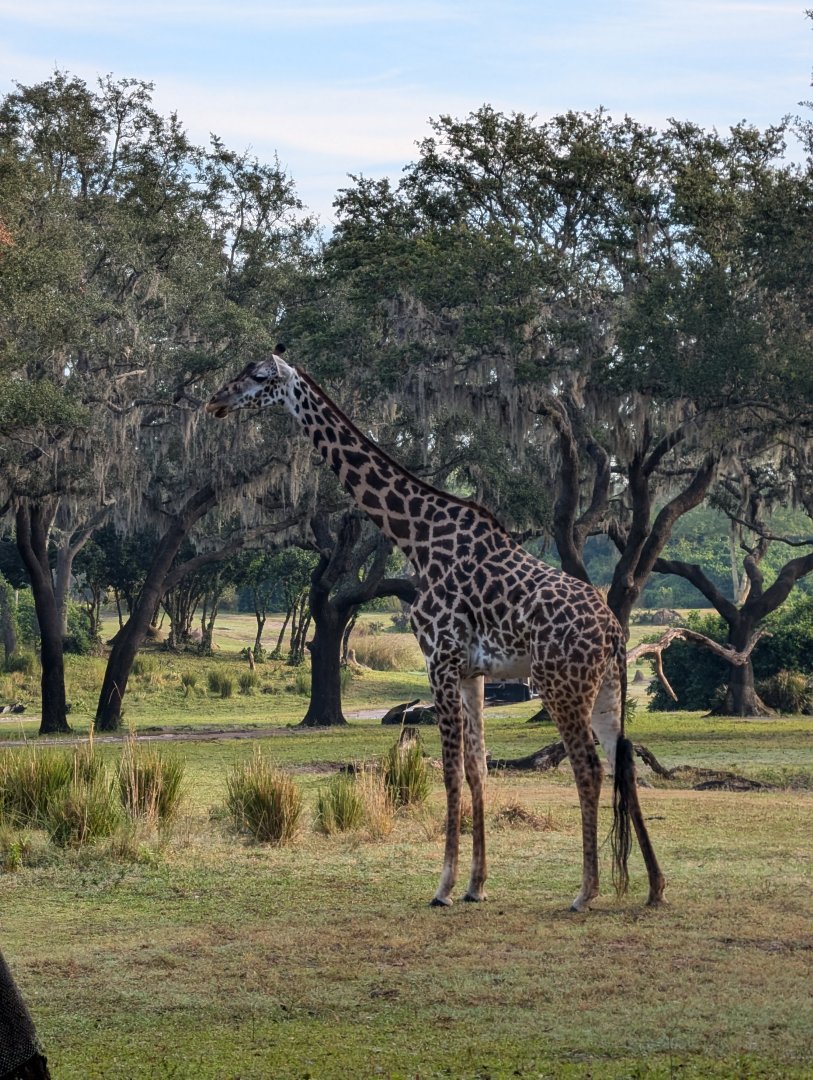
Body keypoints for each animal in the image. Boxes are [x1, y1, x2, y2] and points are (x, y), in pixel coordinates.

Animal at [206, 347, 666, 911]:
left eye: (258, 377)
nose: (216, 400)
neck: (416, 536)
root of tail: (615, 631)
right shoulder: (472, 672)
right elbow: (476, 767)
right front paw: (476, 884)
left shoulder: (438, 659)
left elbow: (446, 769)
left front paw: (443, 886)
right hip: (604, 688)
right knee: (623, 762)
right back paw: (654, 886)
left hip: (562, 683)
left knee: (589, 766)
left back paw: (586, 891)